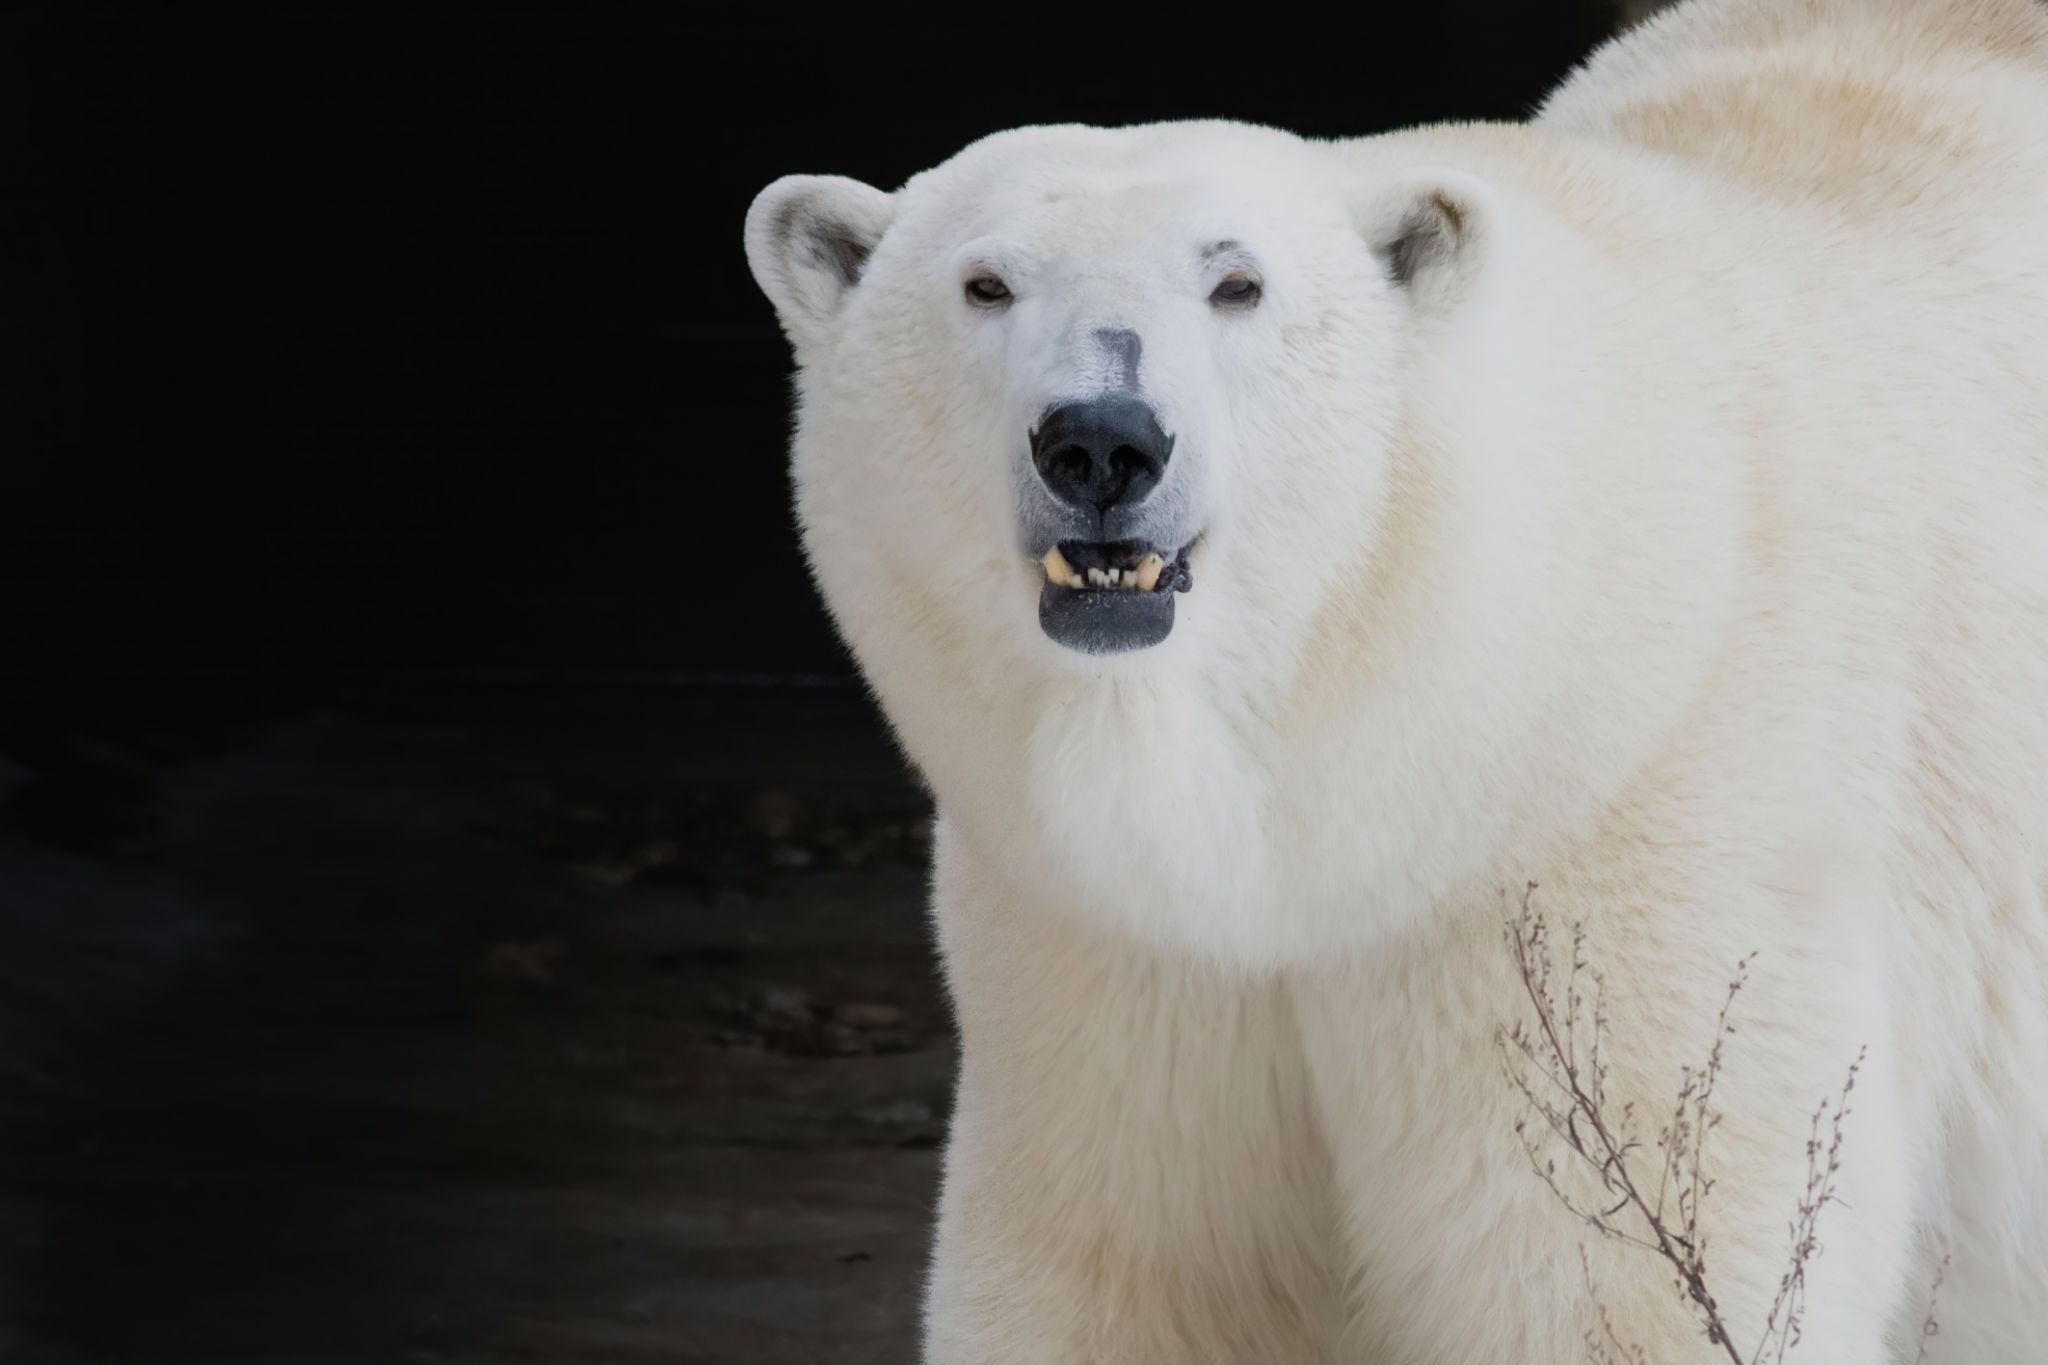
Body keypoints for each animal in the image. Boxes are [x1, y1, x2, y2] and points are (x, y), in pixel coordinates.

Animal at [743, 0, 2048, 1359]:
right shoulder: (1103, 940)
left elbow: (1618, 1284)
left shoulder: (1625, 867)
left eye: (1236, 282)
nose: (1100, 441)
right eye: (985, 283)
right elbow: (1125, 1268)